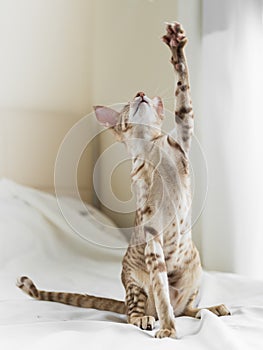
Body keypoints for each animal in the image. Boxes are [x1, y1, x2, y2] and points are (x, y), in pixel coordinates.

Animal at [17, 22, 231, 340]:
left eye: (143, 97)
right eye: (130, 102)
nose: (141, 92)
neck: (152, 147)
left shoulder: (183, 131)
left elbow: (183, 93)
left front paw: (177, 47)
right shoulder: (151, 232)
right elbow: (161, 295)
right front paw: (168, 330)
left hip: (195, 272)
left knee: (187, 308)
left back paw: (211, 308)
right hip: (134, 281)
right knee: (137, 311)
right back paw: (147, 319)